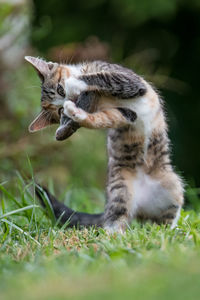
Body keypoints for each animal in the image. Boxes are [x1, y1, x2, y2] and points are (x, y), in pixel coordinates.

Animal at [25, 56, 184, 234]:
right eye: (59, 111)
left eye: (60, 89)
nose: (68, 103)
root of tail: (140, 208)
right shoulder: (120, 114)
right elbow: (98, 119)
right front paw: (66, 126)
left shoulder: (131, 81)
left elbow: (106, 78)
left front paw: (74, 84)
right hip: (120, 188)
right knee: (117, 215)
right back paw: (114, 233)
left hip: (172, 185)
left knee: (166, 218)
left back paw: (171, 231)